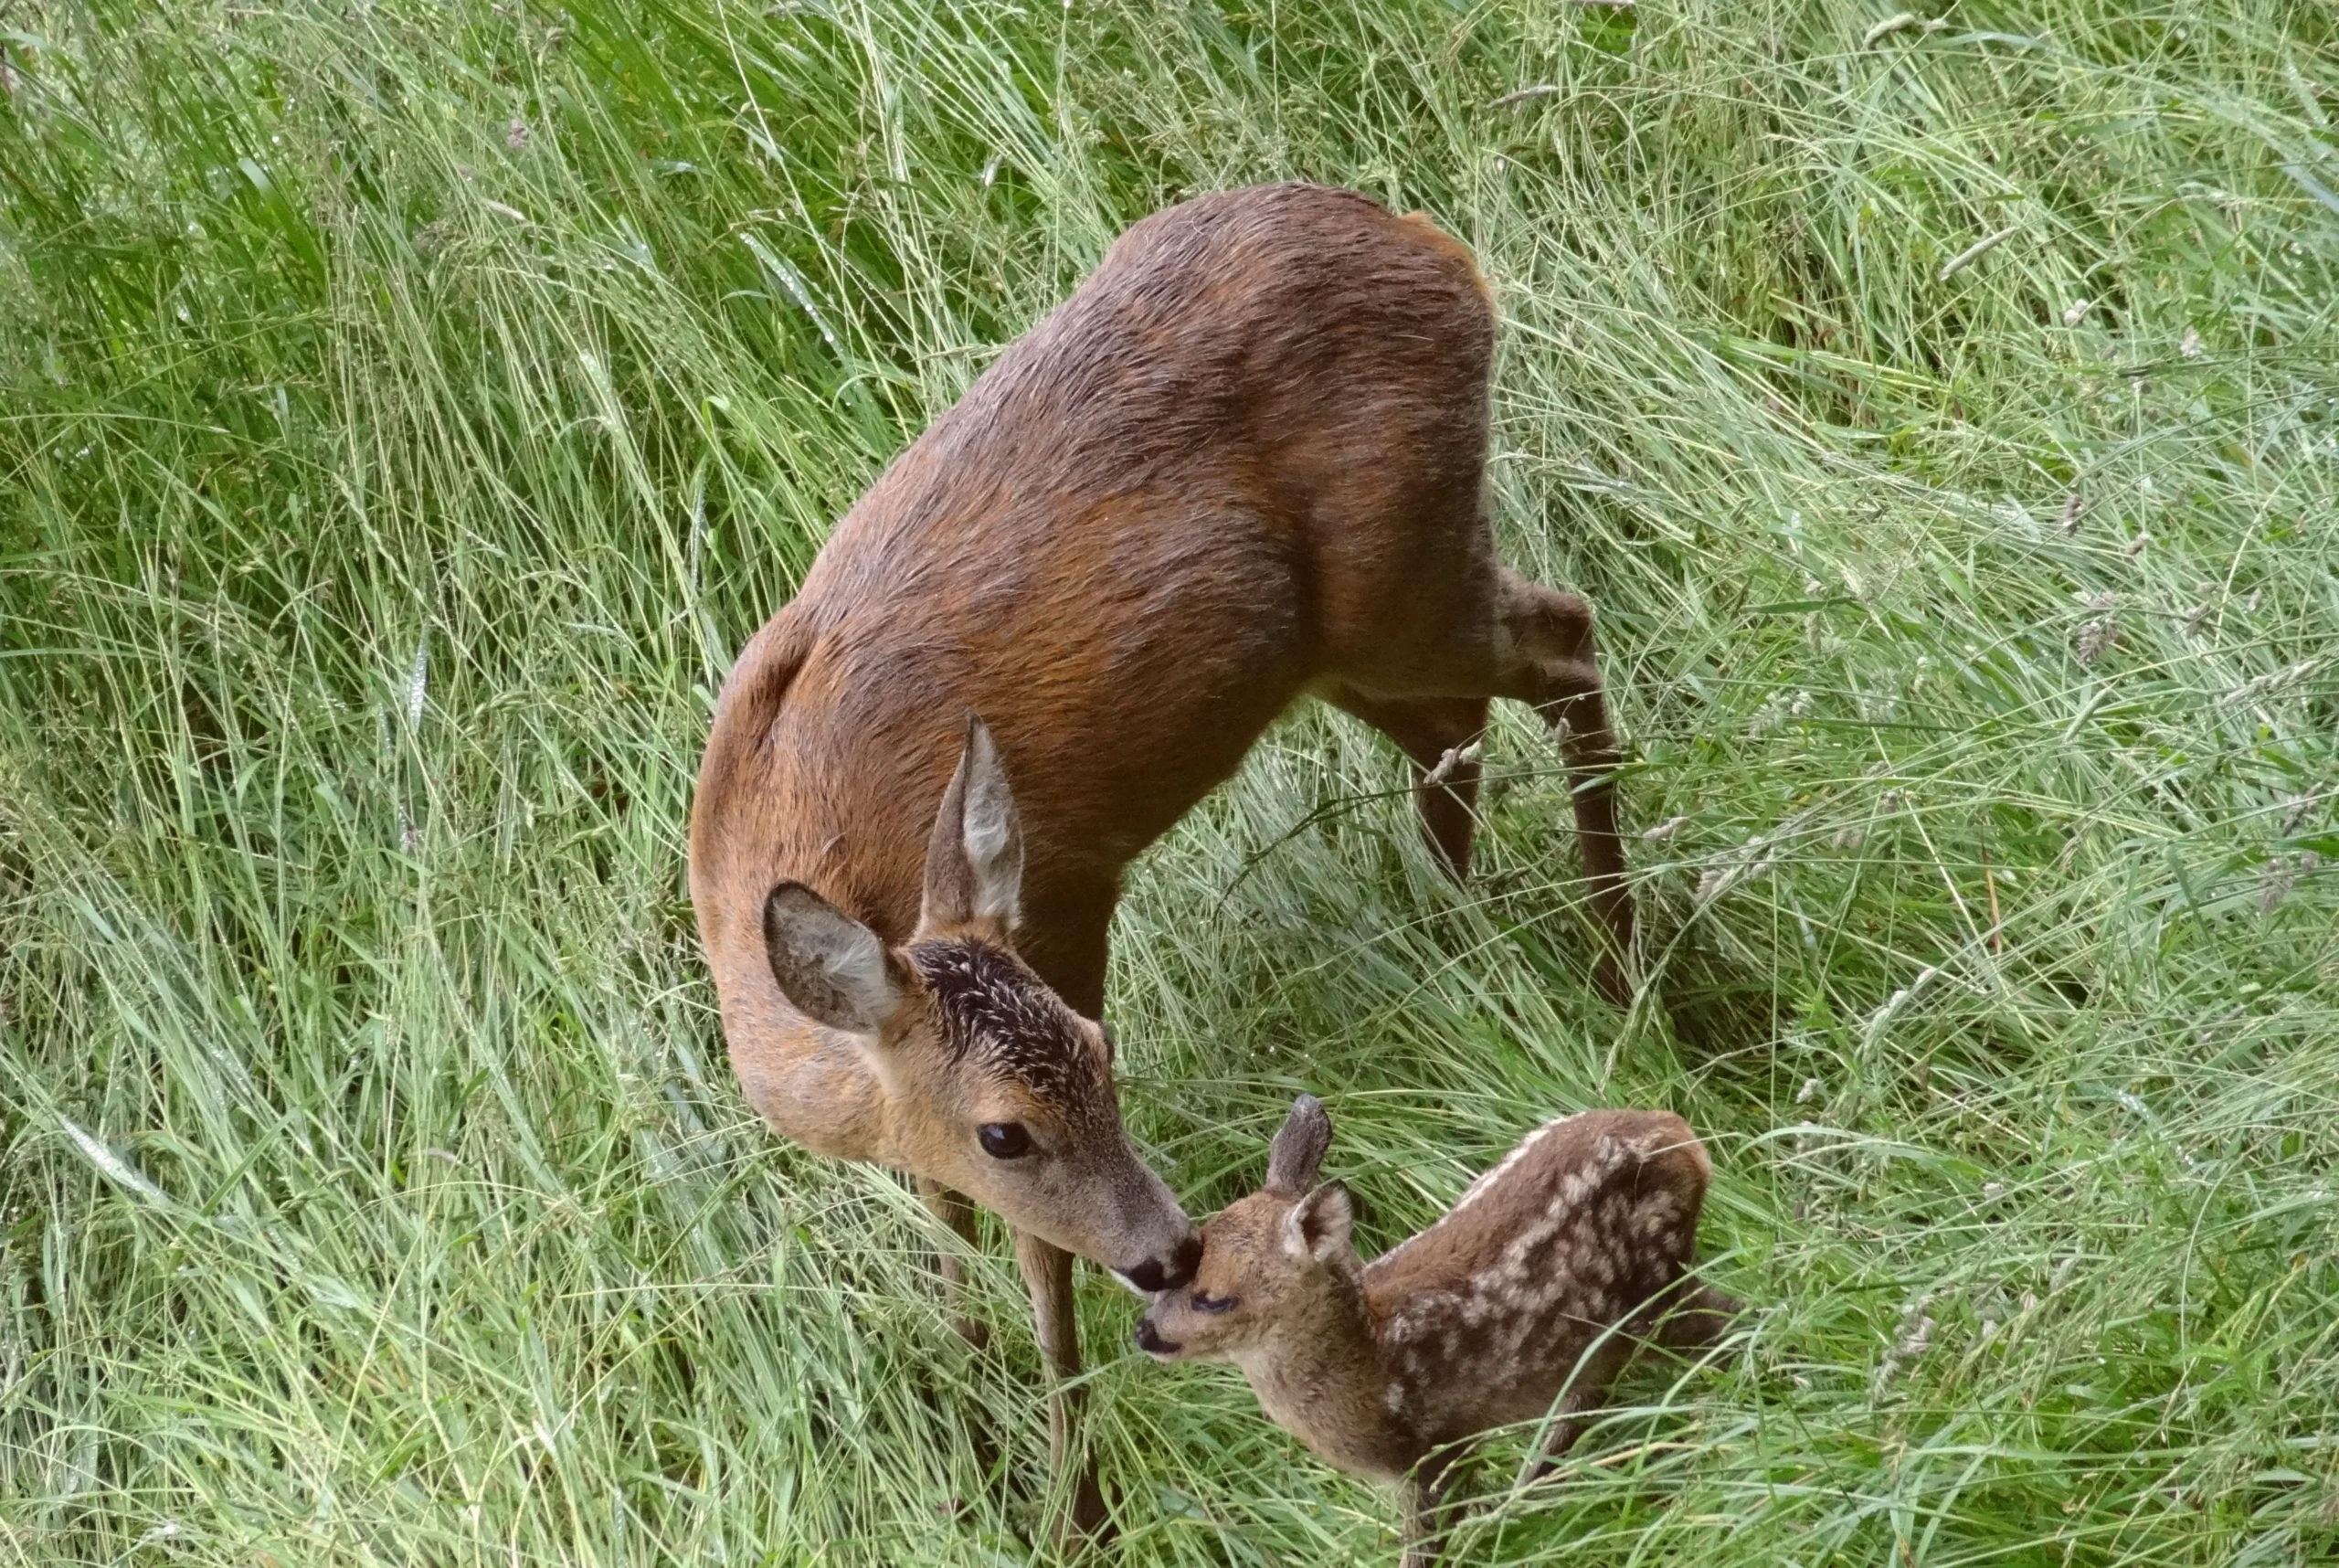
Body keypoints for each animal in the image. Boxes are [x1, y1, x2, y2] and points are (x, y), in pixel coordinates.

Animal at [689, 181, 1639, 1539]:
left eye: (1103, 1052)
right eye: (1003, 1133)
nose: (1172, 1251)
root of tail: (1435, 248)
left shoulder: (1067, 901)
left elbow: (1041, 1282)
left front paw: (1077, 1510)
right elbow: (949, 1253)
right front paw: (979, 1460)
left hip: (1405, 581)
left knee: (1565, 640)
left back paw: (1629, 976)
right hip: (1344, 643)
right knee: (1459, 734)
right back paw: (1481, 947)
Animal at [1134, 1098, 1735, 1566]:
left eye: (1214, 1297)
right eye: (1176, 1274)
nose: (1144, 1333)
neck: (1369, 1365)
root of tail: (1681, 1134)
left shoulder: (1437, 1449)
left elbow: (1426, 1546)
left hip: (1654, 1288)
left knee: (1725, 1321)